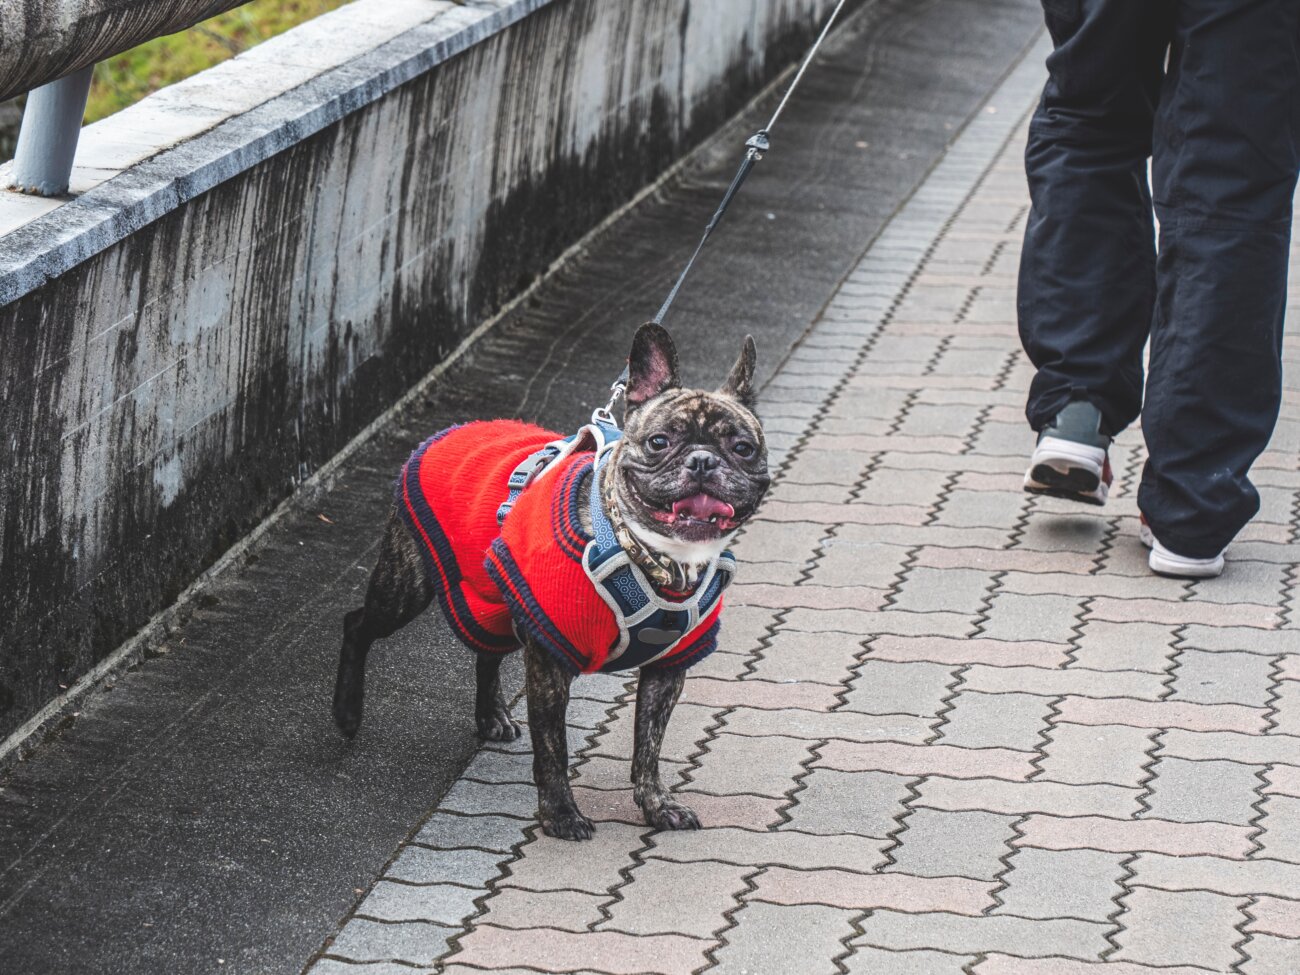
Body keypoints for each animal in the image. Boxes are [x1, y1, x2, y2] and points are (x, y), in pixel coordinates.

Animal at [330, 325, 769, 842]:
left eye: (743, 448)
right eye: (660, 442)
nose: (702, 461)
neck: (655, 557)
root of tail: (456, 428)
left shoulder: (668, 668)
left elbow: (649, 746)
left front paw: (657, 805)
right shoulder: (550, 659)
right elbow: (553, 746)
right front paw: (560, 814)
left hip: (495, 600)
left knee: (486, 652)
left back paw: (491, 716)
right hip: (406, 587)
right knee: (358, 624)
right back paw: (347, 712)